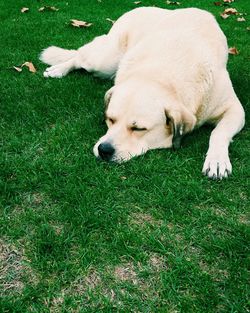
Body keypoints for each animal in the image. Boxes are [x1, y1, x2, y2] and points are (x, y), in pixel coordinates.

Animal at [40, 6, 245, 178]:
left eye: (138, 129)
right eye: (110, 120)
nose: (104, 150)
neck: (160, 77)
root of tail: (137, 8)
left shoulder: (235, 110)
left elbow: (218, 132)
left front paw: (216, 159)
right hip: (104, 61)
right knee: (79, 57)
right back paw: (58, 69)